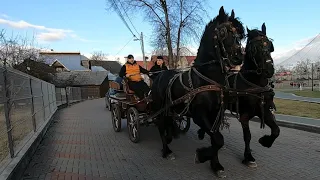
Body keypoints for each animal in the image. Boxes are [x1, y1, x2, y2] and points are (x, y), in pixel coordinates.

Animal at [198, 23, 280, 168]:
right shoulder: (245, 116)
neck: (254, 84)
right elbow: (247, 136)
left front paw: (265, 141)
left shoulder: (263, 110)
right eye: (254, 48)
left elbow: (276, 130)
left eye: (270, 46)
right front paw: (248, 156)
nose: (269, 70)